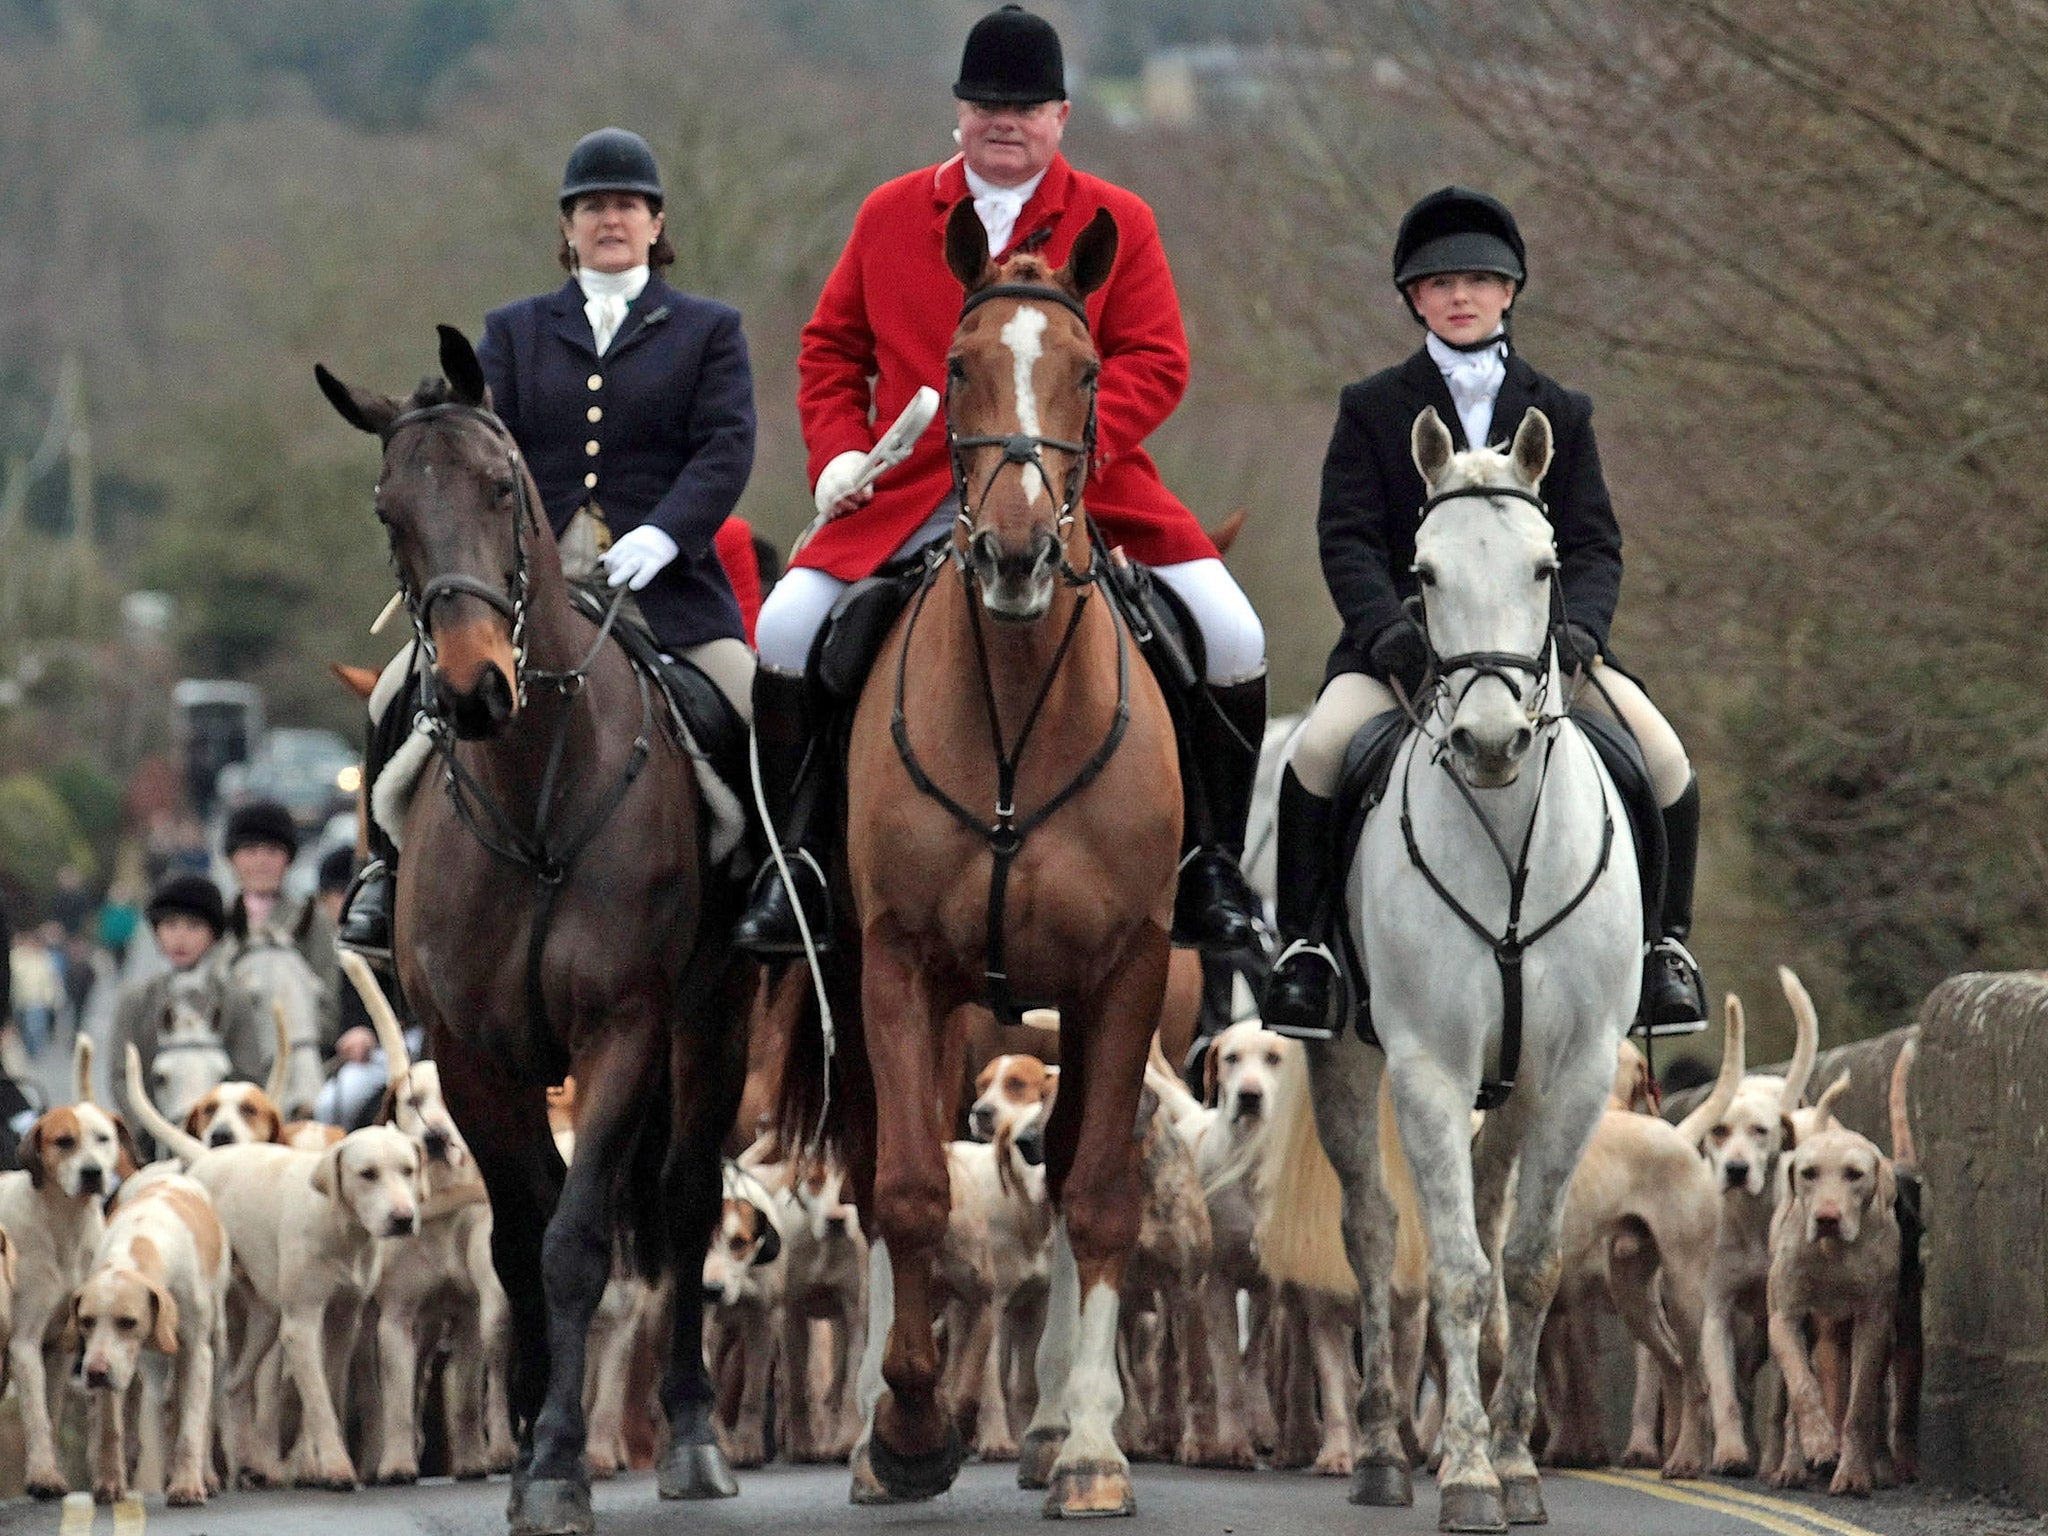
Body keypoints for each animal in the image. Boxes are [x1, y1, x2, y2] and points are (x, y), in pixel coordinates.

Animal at [323, 331, 757, 1531]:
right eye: (387, 510)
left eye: (498, 486)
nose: (475, 688)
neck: (535, 798)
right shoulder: (474, 1054)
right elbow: (523, 1238)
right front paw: (524, 1441)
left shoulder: (620, 1030)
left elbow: (575, 1242)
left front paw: (560, 1457)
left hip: (712, 1021)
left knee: (686, 1200)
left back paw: (692, 1433)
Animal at [782, 210, 1179, 1523]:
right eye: (955, 370)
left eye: (1090, 373)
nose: (1013, 555)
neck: (1012, 712)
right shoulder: (899, 968)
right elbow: (908, 1192)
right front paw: (907, 1426)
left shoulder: (1125, 973)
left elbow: (1094, 1193)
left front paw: (1094, 1450)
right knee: (872, 1175)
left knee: (1059, 1180)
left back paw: (1055, 1426)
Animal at [1310, 409, 1646, 1536]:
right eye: (1423, 571)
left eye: (1546, 566)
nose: (1491, 741)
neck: (1504, 831)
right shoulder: (1427, 1068)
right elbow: (1453, 1270)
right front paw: (1462, 1475)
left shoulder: (1577, 1073)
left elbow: (1529, 1264)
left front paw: (1513, 1462)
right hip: (1343, 1062)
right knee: (1372, 1230)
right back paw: (1379, 1451)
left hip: (1519, 1088)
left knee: (1496, 1213)